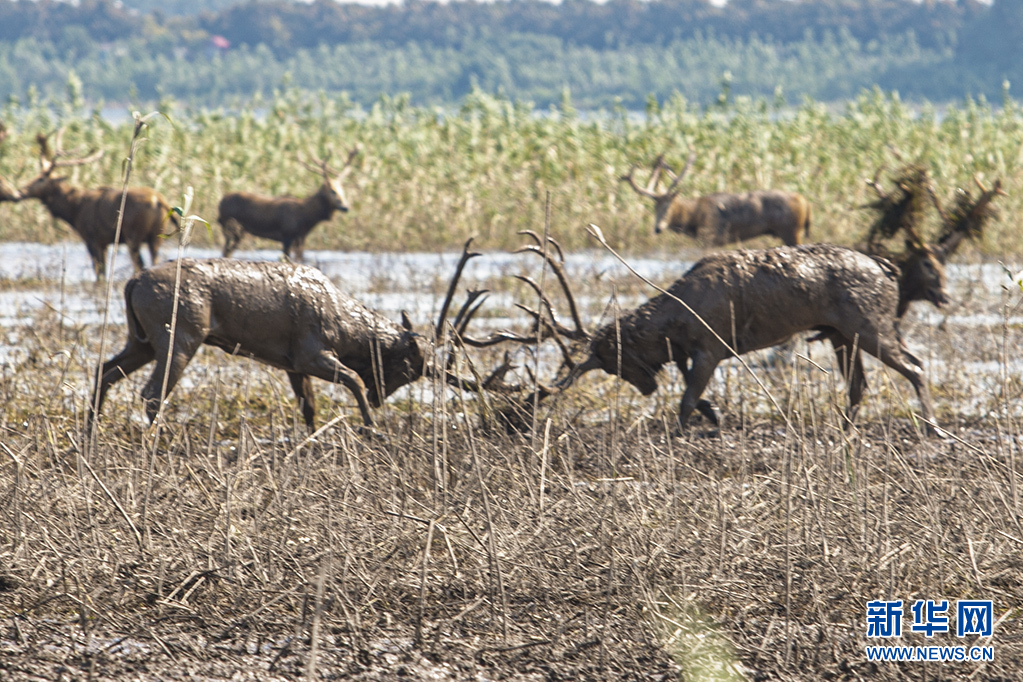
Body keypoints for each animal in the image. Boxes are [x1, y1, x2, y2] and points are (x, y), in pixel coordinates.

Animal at [217, 147, 358, 261]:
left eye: (343, 190)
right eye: (332, 190)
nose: (345, 207)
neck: (306, 218)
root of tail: (220, 202)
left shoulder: (300, 238)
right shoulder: (287, 235)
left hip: (237, 231)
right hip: (230, 227)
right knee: (225, 251)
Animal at [617, 154, 810, 248]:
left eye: (668, 206)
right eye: (654, 208)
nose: (658, 228)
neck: (693, 217)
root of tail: (804, 200)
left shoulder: (710, 235)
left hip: (791, 230)